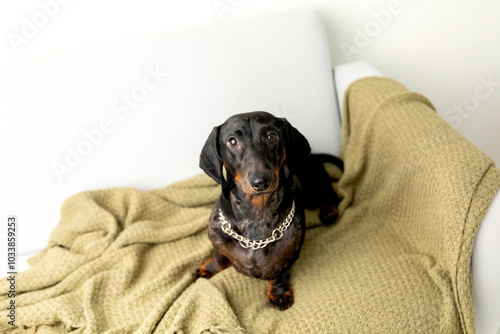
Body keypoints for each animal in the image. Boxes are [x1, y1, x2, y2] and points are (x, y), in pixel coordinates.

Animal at [193, 111, 342, 310]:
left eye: (272, 136)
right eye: (232, 141)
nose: (261, 181)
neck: (256, 214)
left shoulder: (289, 254)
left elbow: (280, 273)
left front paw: (278, 293)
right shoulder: (219, 240)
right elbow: (218, 256)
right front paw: (207, 268)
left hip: (315, 184)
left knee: (331, 194)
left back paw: (329, 211)